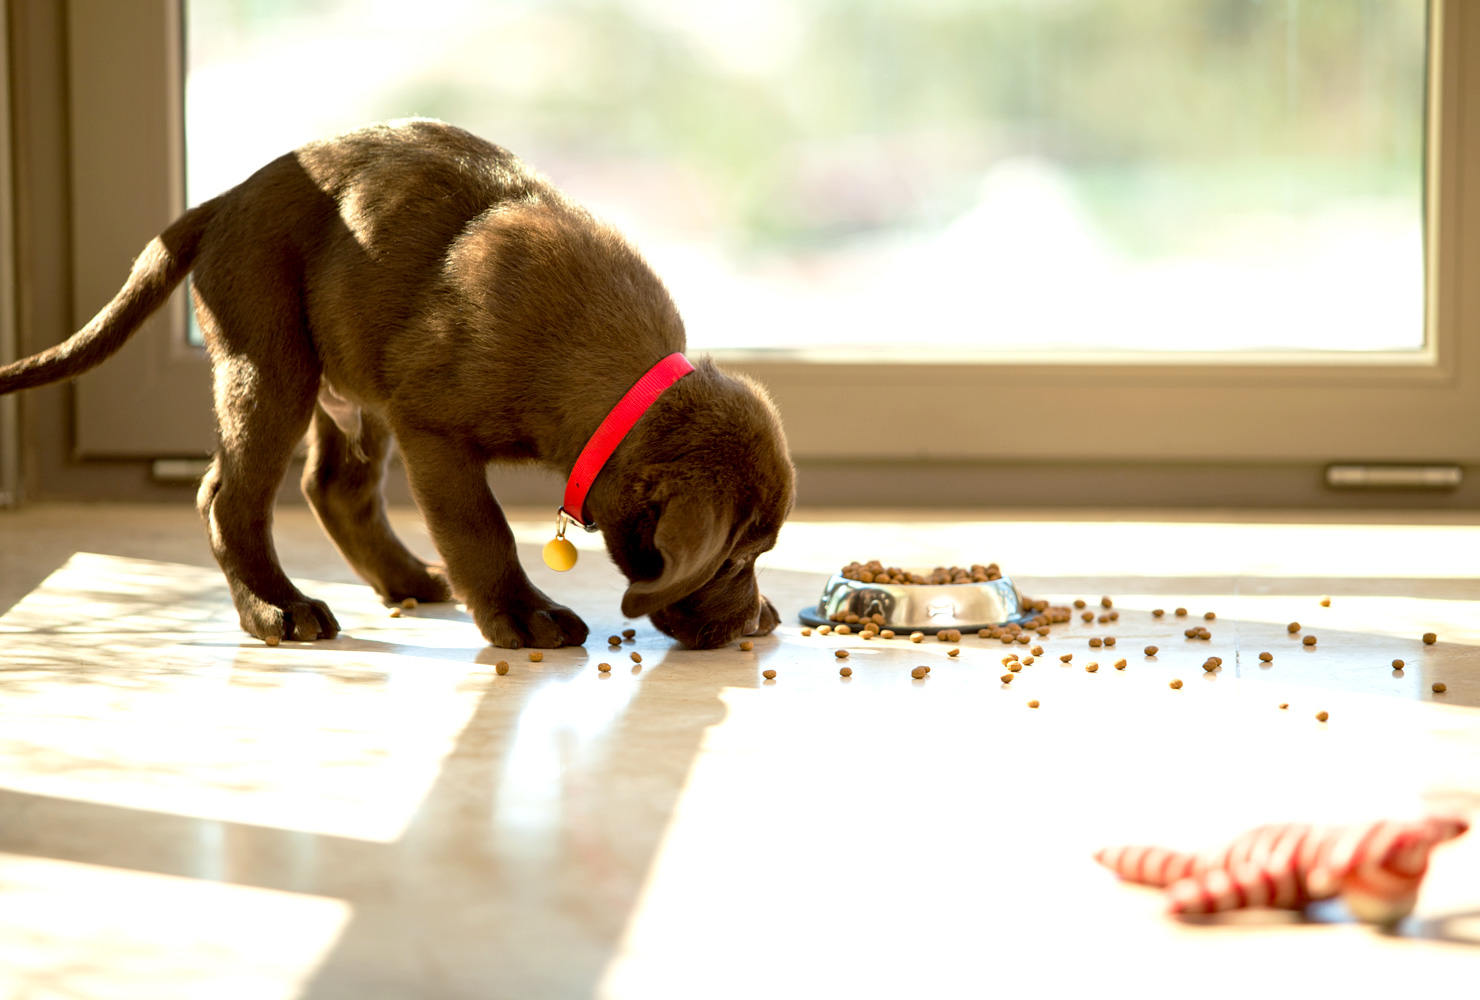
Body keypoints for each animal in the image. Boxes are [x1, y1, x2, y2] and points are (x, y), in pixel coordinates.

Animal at [0, 119, 799, 647]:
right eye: (735, 559)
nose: (758, 624)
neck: (615, 382)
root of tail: (222, 202)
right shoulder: (434, 430)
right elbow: (482, 528)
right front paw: (524, 614)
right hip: (273, 362)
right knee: (228, 497)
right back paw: (275, 610)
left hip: (354, 379)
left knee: (333, 488)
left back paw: (409, 580)